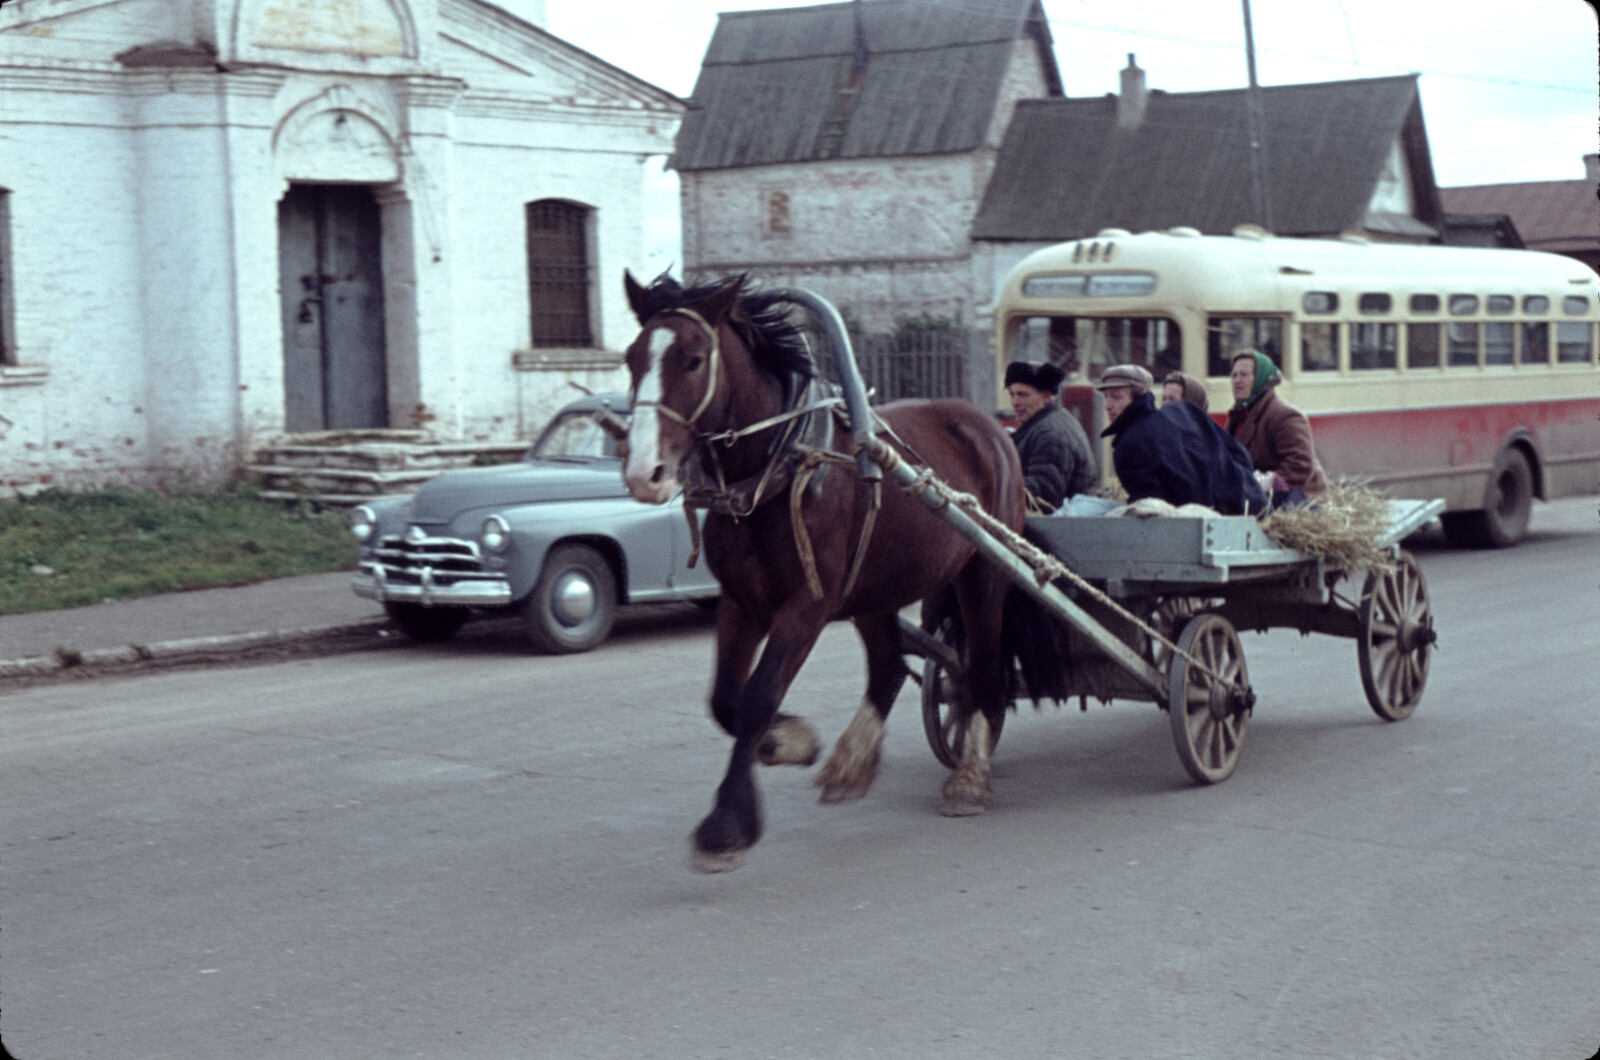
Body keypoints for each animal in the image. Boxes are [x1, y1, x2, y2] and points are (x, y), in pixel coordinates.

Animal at [617, 272, 1017, 871]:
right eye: (631, 357)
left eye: (693, 359)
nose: (646, 473)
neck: (778, 471)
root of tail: (986, 425)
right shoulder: (740, 601)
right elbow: (725, 702)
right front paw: (788, 742)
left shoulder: (807, 605)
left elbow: (758, 696)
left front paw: (725, 827)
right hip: (877, 587)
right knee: (889, 667)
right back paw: (853, 762)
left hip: (984, 575)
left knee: (985, 671)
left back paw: (970, 775)